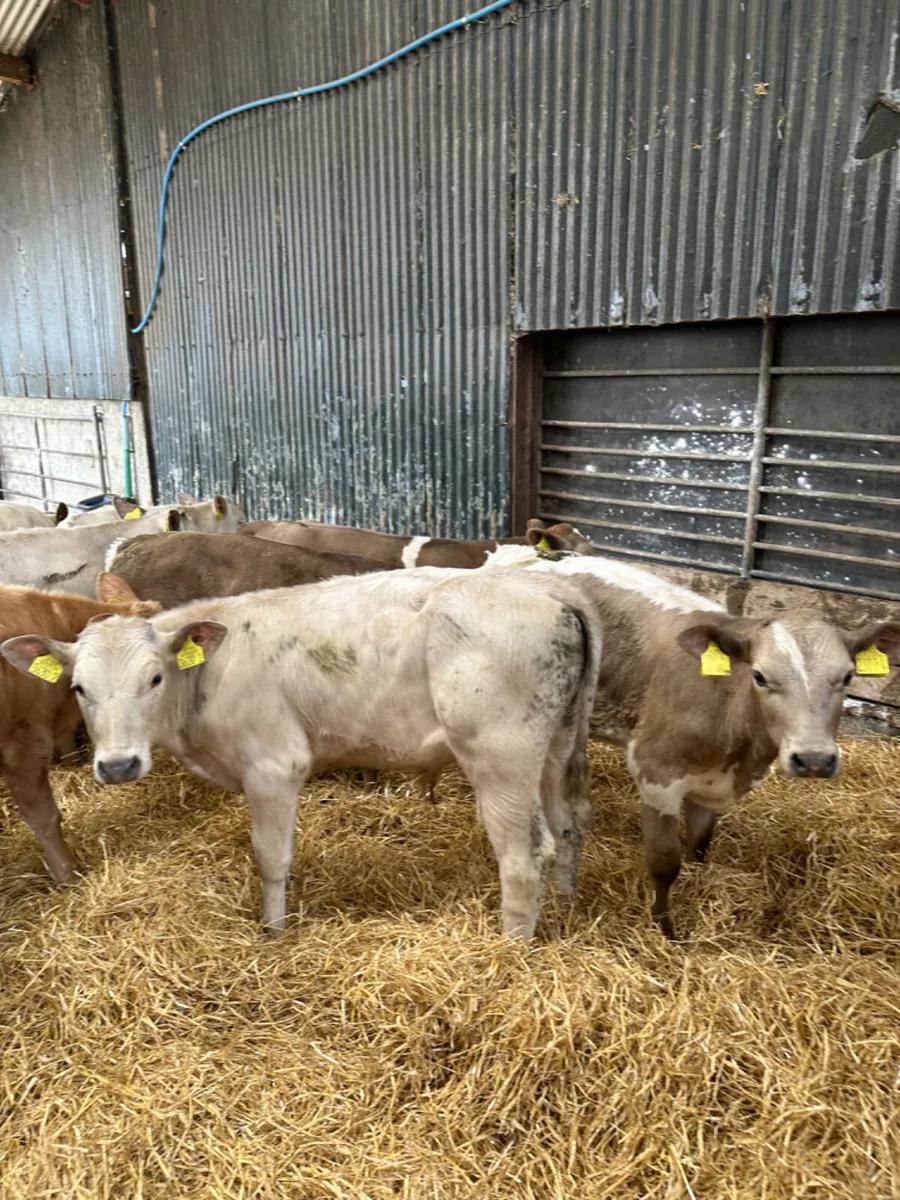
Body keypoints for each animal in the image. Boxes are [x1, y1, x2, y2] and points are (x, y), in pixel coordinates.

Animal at [484, 545, 900, 938]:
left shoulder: (710, 781)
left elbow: (700, 843)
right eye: (760, 676)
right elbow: (664, 862)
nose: (814, 760)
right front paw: (665, 930)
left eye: (847, 676)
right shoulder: (656, 774)